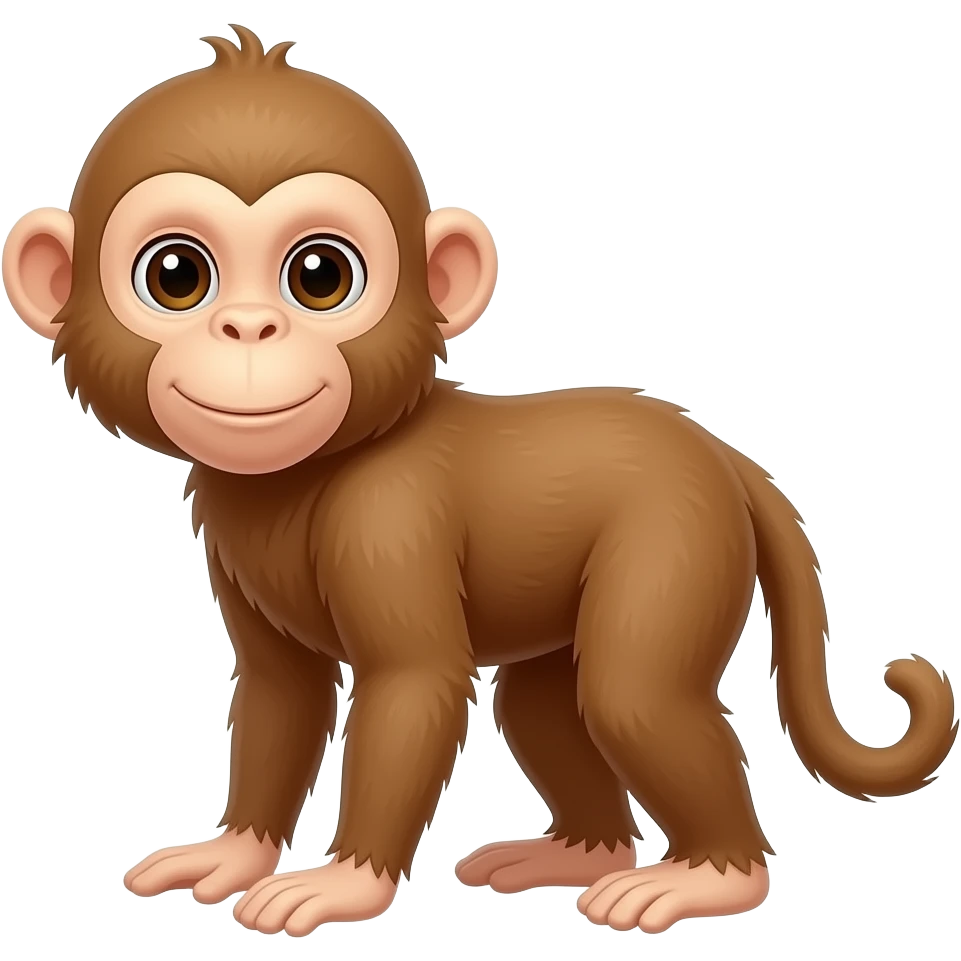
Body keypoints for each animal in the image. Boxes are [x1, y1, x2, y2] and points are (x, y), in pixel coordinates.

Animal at [3, 25, 957, 938]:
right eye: (177, 276)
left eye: (319, 276)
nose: (247, 327)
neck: (311, 472)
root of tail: (719, 454)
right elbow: (280, 693)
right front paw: (232, 853)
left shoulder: (386, 518)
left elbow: (414, 682)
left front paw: (344, 883)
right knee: (541, 705)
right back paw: (577, 853)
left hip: (677, 540)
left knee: (633, 694)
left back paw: (711, 876)